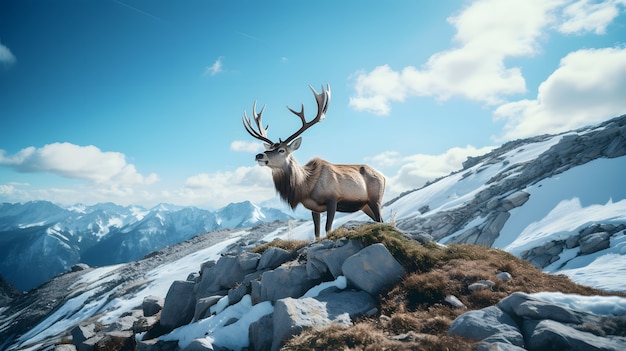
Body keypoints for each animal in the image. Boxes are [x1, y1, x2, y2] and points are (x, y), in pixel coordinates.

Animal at [243, 84, 386, 239]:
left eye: (281, 150)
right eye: (270, 148)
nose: (259, 155)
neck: (305, 186)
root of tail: (384, 177)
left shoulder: (333, 199)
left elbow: (328, 228)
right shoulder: (314, 208)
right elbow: (316, 232)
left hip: (375, 199)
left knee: (381, 220)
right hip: (365, 206)